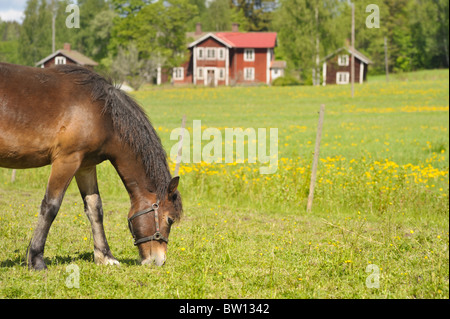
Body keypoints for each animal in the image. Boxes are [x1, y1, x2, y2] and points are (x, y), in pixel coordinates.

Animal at [1, 62, 183, 270]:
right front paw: (36, 258)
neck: (103, 115)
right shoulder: (66, 160)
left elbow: (95, 208)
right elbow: (50, 207)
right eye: (169, 219)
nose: (159, 260)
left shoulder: (85, 165)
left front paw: (105, 255)